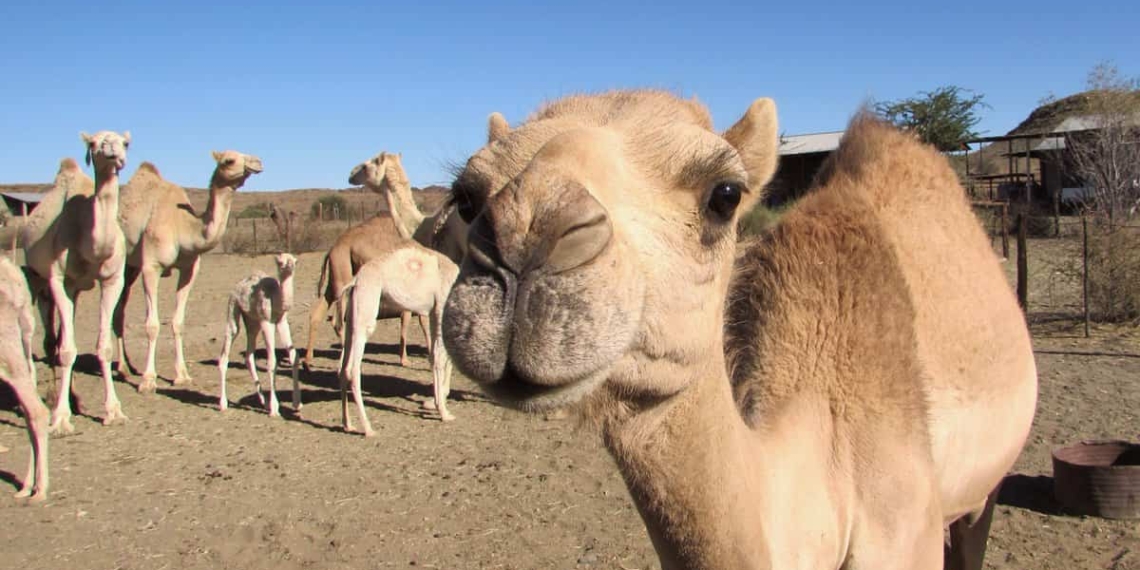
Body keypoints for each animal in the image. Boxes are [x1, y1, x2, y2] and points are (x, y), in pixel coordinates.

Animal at [22, 131, 133, 433]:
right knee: (51, 341)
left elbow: (103, 347)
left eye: (125, 142)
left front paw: (114, 411)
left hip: (76, 289)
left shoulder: (112, 280)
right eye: (94, 144)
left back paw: (75, 399)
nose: (115, 156)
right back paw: (54, 398)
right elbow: (67, 350)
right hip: (38, 279)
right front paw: (60, 419)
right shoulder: (59, 279)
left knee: (61, 335)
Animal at [113, 151, 263, 393]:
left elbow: (178, 322)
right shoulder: (151, 266)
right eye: (229, 160)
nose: (257, 162)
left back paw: (127, 367)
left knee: (119, 309)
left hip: (131, 266)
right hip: (120, 261)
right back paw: (122, 368)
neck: (182, 227)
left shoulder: (189, 269)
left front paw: (182, 376)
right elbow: (152, 324)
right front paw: (148, 381)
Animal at [218, 253, 300, 416]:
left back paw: (264, 402)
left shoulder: (281, 321)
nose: (289, 266)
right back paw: (223, 404)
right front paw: (275, 409)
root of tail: (238, 286)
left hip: (252, 322)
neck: (276, 296)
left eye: (293, 260)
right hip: (233, 309)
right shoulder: (266, 322)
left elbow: (294, 355)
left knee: (249, 356)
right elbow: (272, 362)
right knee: (228, 345)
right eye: (280, 262)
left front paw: (297, 404)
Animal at [338, 242, 459, 433]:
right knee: (352, 369)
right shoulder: (441, 308)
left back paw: (348, 424)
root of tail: (355, 280)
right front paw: (443, 413)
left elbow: (434, 357)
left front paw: (437, 405)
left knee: (343, 368)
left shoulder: (434, 313)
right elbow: (439, 358)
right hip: (367, 308)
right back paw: (368, 429)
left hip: (353, 316)